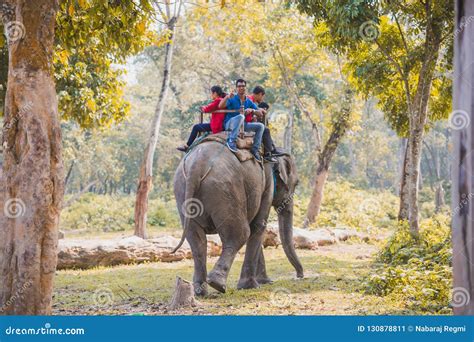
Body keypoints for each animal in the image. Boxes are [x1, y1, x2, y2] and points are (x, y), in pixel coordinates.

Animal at [172, 139, 302, 296]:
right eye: (296, 183)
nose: (299, 276)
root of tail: (196, 166)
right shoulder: (267, 183)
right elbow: (258, 226)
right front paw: (252, 286)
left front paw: (264, 282)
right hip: (226, 189)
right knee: (240, 234)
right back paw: (217, 284)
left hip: (182, 190)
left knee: (196, 240)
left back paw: (200, 292)